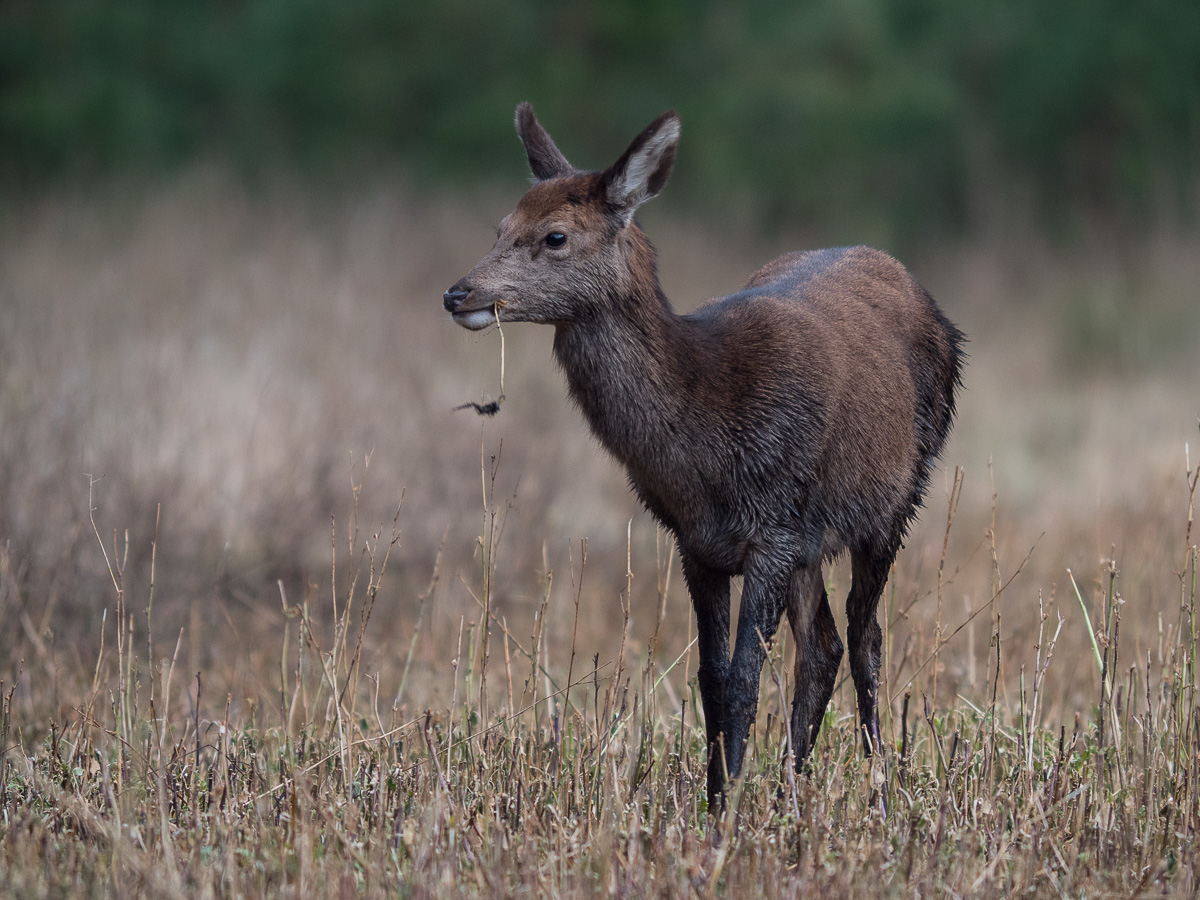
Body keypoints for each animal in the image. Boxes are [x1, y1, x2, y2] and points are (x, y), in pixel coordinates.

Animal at [444, 102, 964, 806]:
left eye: (554, 236)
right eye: (501, 226)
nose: (458, 294)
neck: (705, 440)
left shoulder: (773, 528)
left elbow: (744, 679)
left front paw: (728, 813)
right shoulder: (699, 542)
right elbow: (713, 681)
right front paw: (715, 800)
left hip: (895, 498)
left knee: (865, 636)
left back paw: (880, 783)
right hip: (811, 540)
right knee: (823, 646)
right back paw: (791, 792)